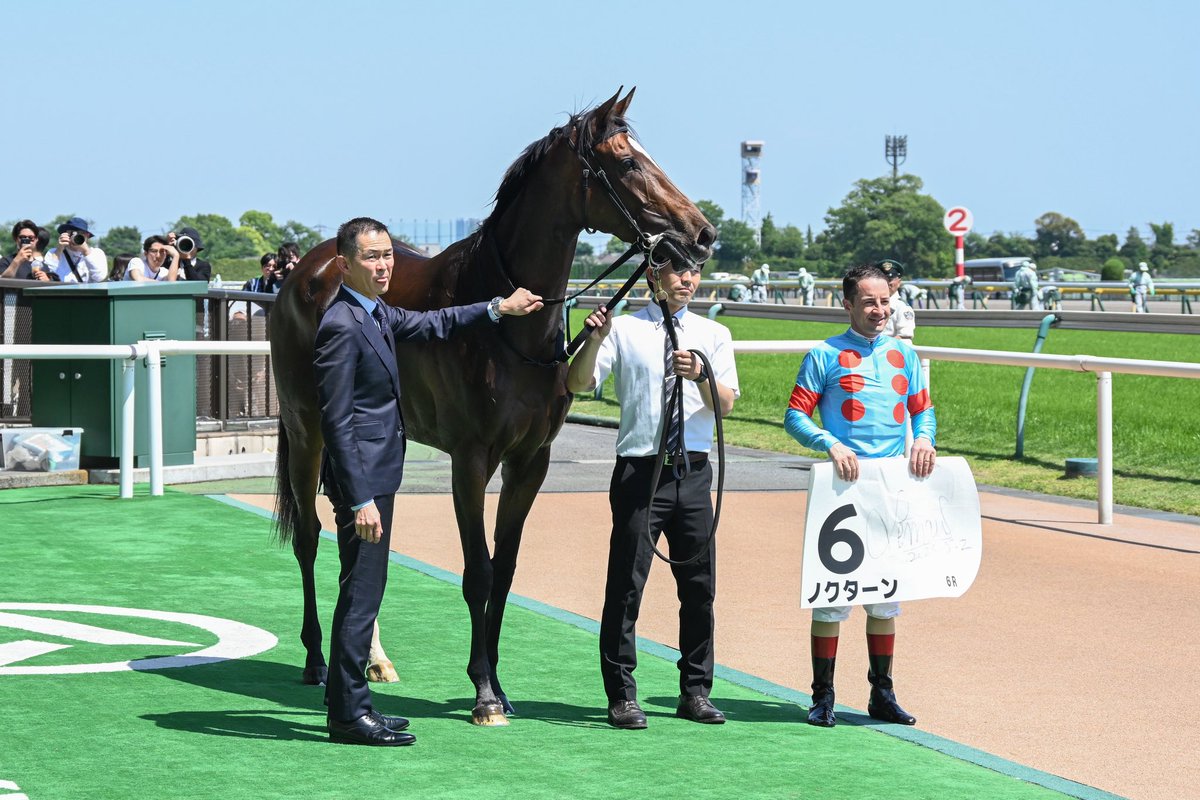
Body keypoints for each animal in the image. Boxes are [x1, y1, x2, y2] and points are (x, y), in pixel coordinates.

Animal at [269, 88, 715, 725]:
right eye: (628, 162)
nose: (702, 234)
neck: (508, 327)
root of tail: (307, 270)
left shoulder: (530, 461)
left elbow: (503, 570)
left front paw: (499, 688)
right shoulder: (470, 459)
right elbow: (477, 572)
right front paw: (483, 695)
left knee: (356, 531)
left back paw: (371, 659)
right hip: (308, 426)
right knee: (308, 535)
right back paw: (316, 661)